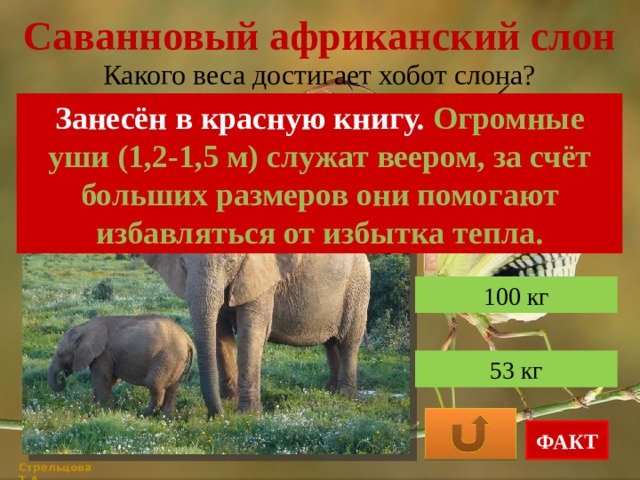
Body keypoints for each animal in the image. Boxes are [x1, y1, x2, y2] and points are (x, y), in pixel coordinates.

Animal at [47, 314, 195, 418]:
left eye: (60, 355)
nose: (63, 377)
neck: (83, 327)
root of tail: (188, 339)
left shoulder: (103, 354)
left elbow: (103, 380)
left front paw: (103, 412)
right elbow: (108, 381)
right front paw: (93, 409)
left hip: (167, 357)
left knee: (154, 384)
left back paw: (142, 414)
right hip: (177, 361)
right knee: (173, 388)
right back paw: (166, 419)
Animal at [141, 254, 370, 417]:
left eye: (231, 262)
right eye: (183, 264)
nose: (218, 415)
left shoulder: (262, 279)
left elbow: (250, 334)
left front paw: (247, 413)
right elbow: (219, 335)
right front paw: (229, 401)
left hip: (358, 285)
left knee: (349, 341)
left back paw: (345, 395)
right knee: (331, 344)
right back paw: (329, 390)